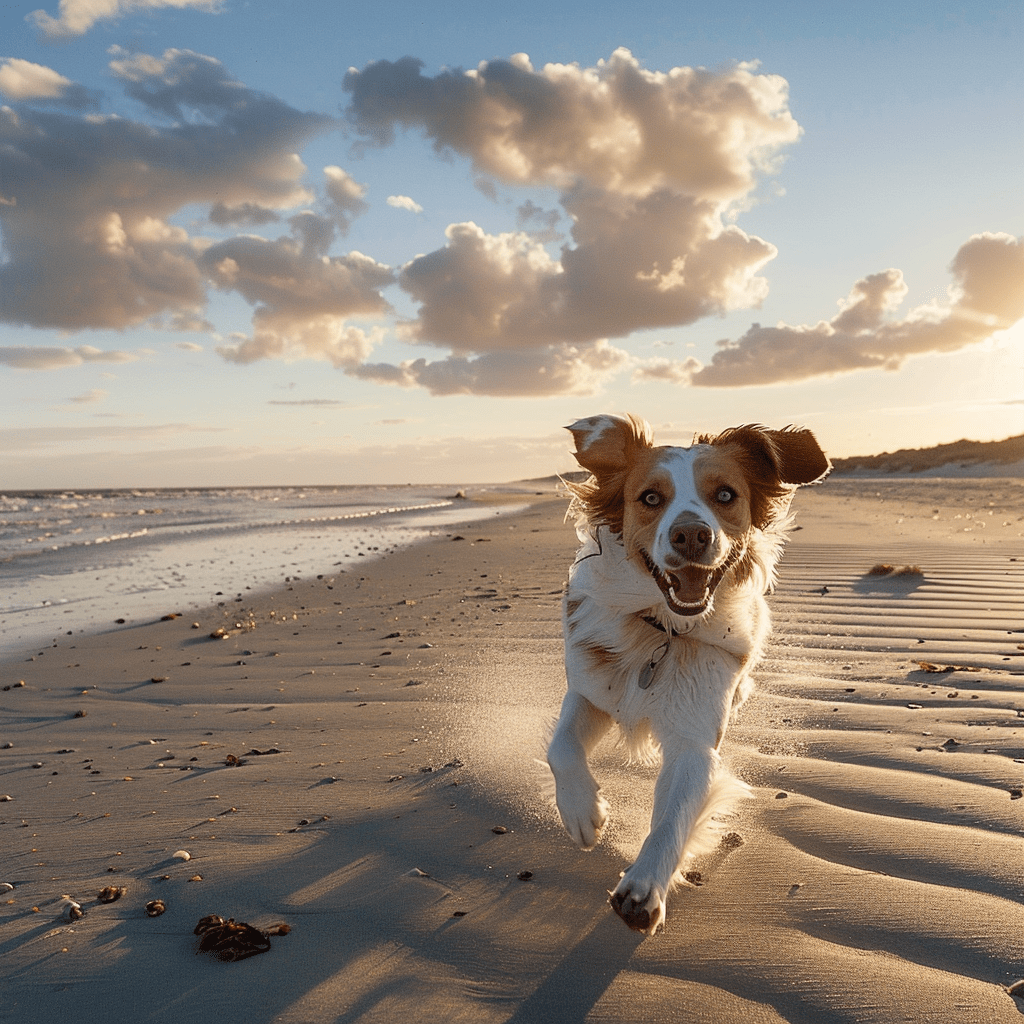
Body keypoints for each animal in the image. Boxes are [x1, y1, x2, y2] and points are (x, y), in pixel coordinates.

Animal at [548, 413, 827, 937]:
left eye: (725, 495)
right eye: (650, 498)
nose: (692, 535)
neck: (665, 630)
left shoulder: (696, 738)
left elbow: (673, 817)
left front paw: (643, 888)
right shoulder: (592, 688)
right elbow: (561, 747)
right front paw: (583, 813)